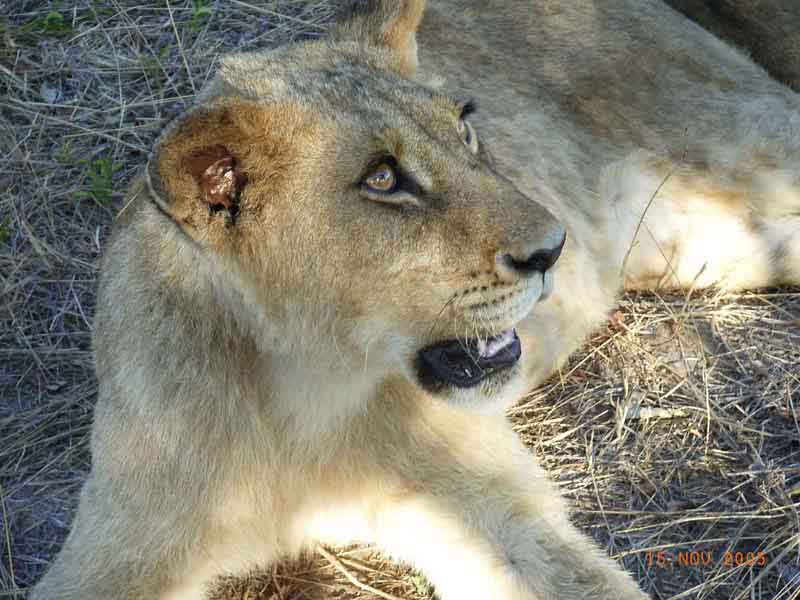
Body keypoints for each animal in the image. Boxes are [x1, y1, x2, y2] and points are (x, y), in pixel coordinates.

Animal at [28, 1, 796, 600]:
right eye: (383, 179)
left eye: (466, 131)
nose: (554, 249)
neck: (300, 400)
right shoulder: (122, 545)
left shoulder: (490, 508)